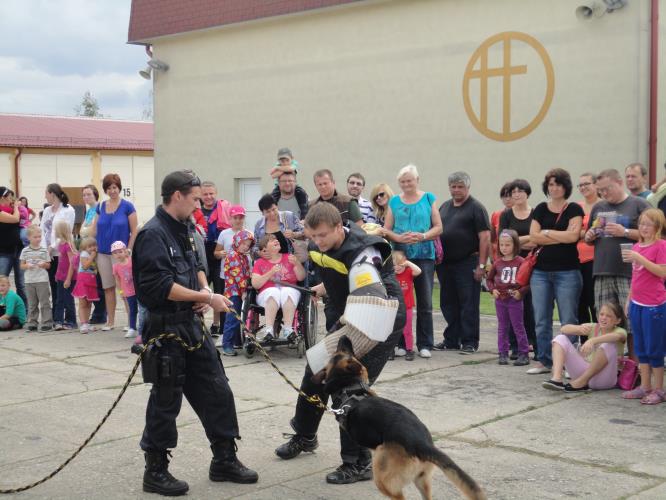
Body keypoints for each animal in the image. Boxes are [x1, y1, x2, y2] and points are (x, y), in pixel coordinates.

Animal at [312, 336, 482, 500]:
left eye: (345, 353)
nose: (344, 336)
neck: (349, 387)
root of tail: (421, 443)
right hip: (422, 480)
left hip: (383, 475)